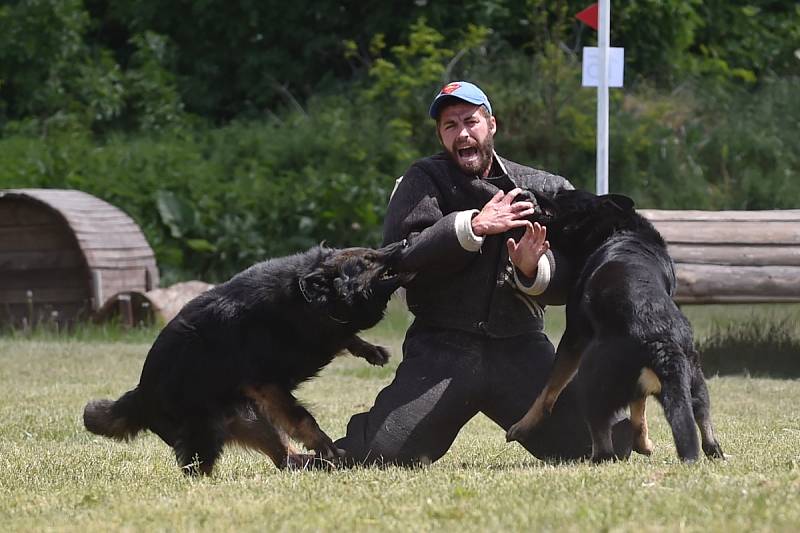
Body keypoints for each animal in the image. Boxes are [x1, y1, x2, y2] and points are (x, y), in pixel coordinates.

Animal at [83, 241, 410, 474]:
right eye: (366, 261)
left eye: (371, 253)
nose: (404, 242)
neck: (304, 299)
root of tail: (140, 394)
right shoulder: (265, 384)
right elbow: (301, 417)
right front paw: (323, 443)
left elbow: (347, 337)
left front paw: (373, 351)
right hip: (207, 434)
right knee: (197, 468)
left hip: (256, 423)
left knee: (284, 459)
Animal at [506, 190, 724, 462]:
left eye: (560, 194)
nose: (527, 193)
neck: (618, 228)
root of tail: (660, 340)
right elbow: (639, 412)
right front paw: (644, 443)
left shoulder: (574, 337)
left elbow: (548, 392)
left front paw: (521, 426)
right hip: (694, 379)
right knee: (702, 418)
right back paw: (710, 449)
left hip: (590, 379)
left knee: (602, 438)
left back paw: (596, 457)